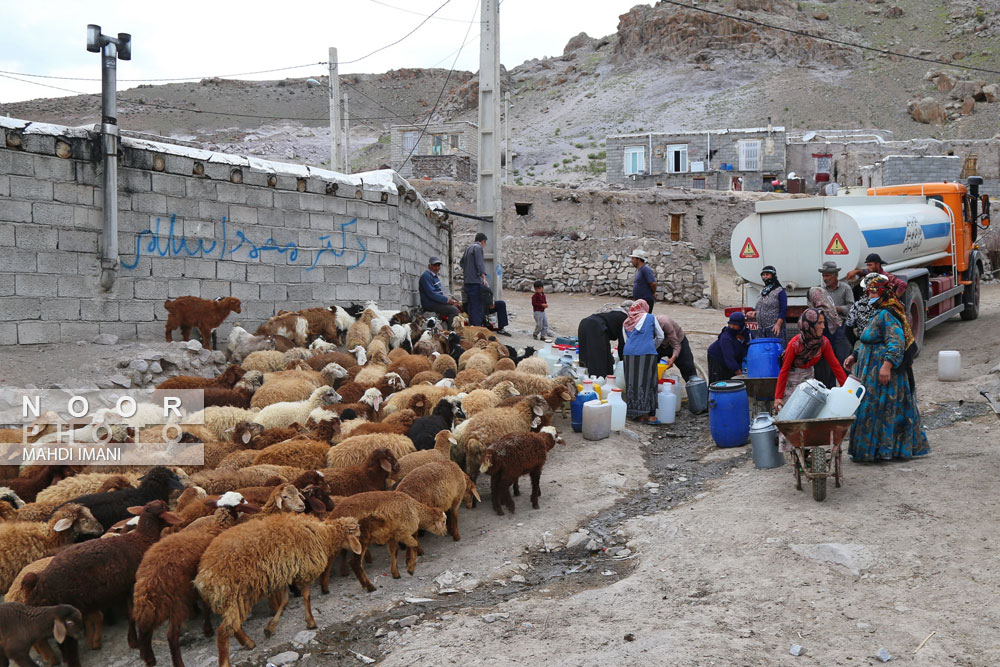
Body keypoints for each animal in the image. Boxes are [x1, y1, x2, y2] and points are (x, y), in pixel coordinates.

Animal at [21, 500, 182, 652]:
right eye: (166, 508)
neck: (141, 540)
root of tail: (36, 588)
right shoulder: (131, 585)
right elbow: (131, 614)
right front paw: (134, 641)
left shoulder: (124, 588)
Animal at [132, 490, 258, 667]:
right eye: (242, 500)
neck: (218, 525)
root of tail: (150, 580)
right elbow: (206, 605)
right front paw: (208, 629)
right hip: (178, 601)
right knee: (171, 635)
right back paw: (178, 663)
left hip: (150, 606)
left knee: (144, 630)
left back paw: (149, 659)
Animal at [193, 516, 362, 667]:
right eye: (357, 533)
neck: (323, 534)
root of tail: (203, 576)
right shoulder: (304, 570)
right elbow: (306, 596)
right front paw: (311, 622)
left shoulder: (284, 574)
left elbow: (285, 601)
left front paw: (270, 627)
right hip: (237, 594)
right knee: (224, 631)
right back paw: (227, 661)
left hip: (233, 599)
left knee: (232, 626)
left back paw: (248, 643)